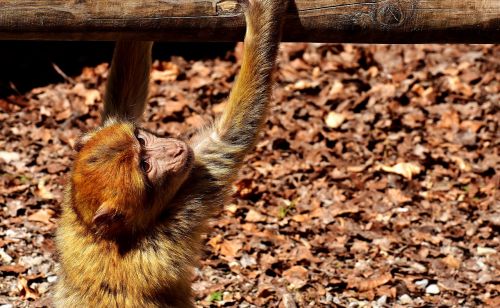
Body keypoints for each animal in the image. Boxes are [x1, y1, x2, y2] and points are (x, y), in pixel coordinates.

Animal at [52, 1, 288, 306]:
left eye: (141, 140)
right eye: (145, 166)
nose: (175, 149)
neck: (105, 235)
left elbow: (123, 104)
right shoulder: (181, 214)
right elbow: (231, 136)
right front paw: (262, 14)